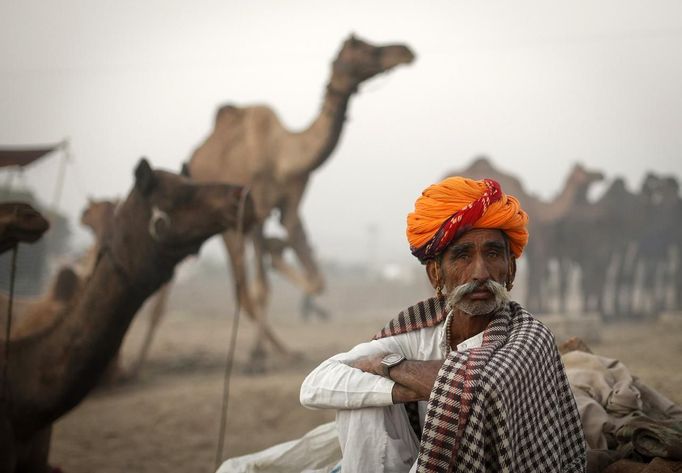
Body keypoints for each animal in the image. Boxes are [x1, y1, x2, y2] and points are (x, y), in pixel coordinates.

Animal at [183, 34, 412, 366]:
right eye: (364, 49)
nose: (405, 51)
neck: (284, 156)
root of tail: (194, 160)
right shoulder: (256, 208)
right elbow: (263, 287)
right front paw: (255, 356)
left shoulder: (291, 205)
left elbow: (316, 278)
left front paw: (277, 250)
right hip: (226, 222)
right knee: (244, 290)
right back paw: (264, 353)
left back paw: (287, 350)